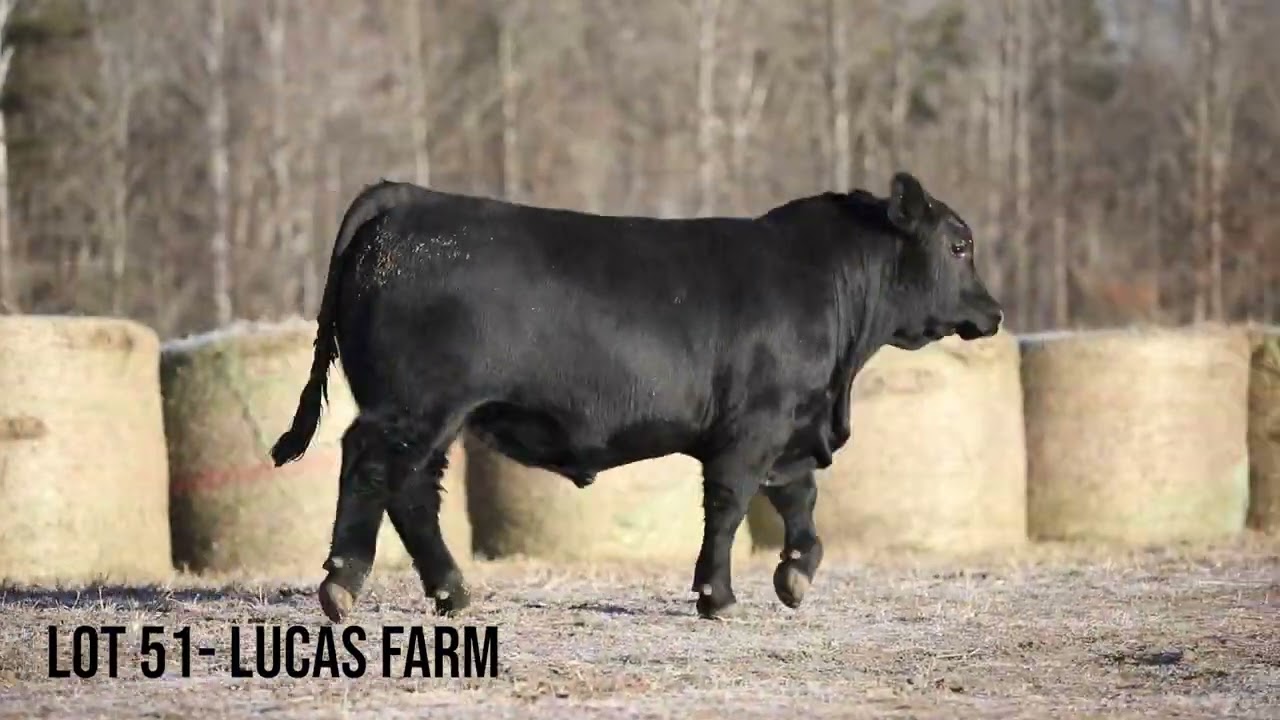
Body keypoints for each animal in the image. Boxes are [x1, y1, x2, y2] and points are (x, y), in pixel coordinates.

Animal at [269, 171, 1002, 623]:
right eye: (959, 244)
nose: (993, 313)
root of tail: (411, 196)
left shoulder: (790, 427)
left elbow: (800, 504)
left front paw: (794, 576)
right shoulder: (751, 429)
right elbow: (729, 507)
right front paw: (717, 595)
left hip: (438, 417)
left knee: (413, 491)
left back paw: (452, 592)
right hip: (414, 404)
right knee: (368, 465)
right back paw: (342, 583)